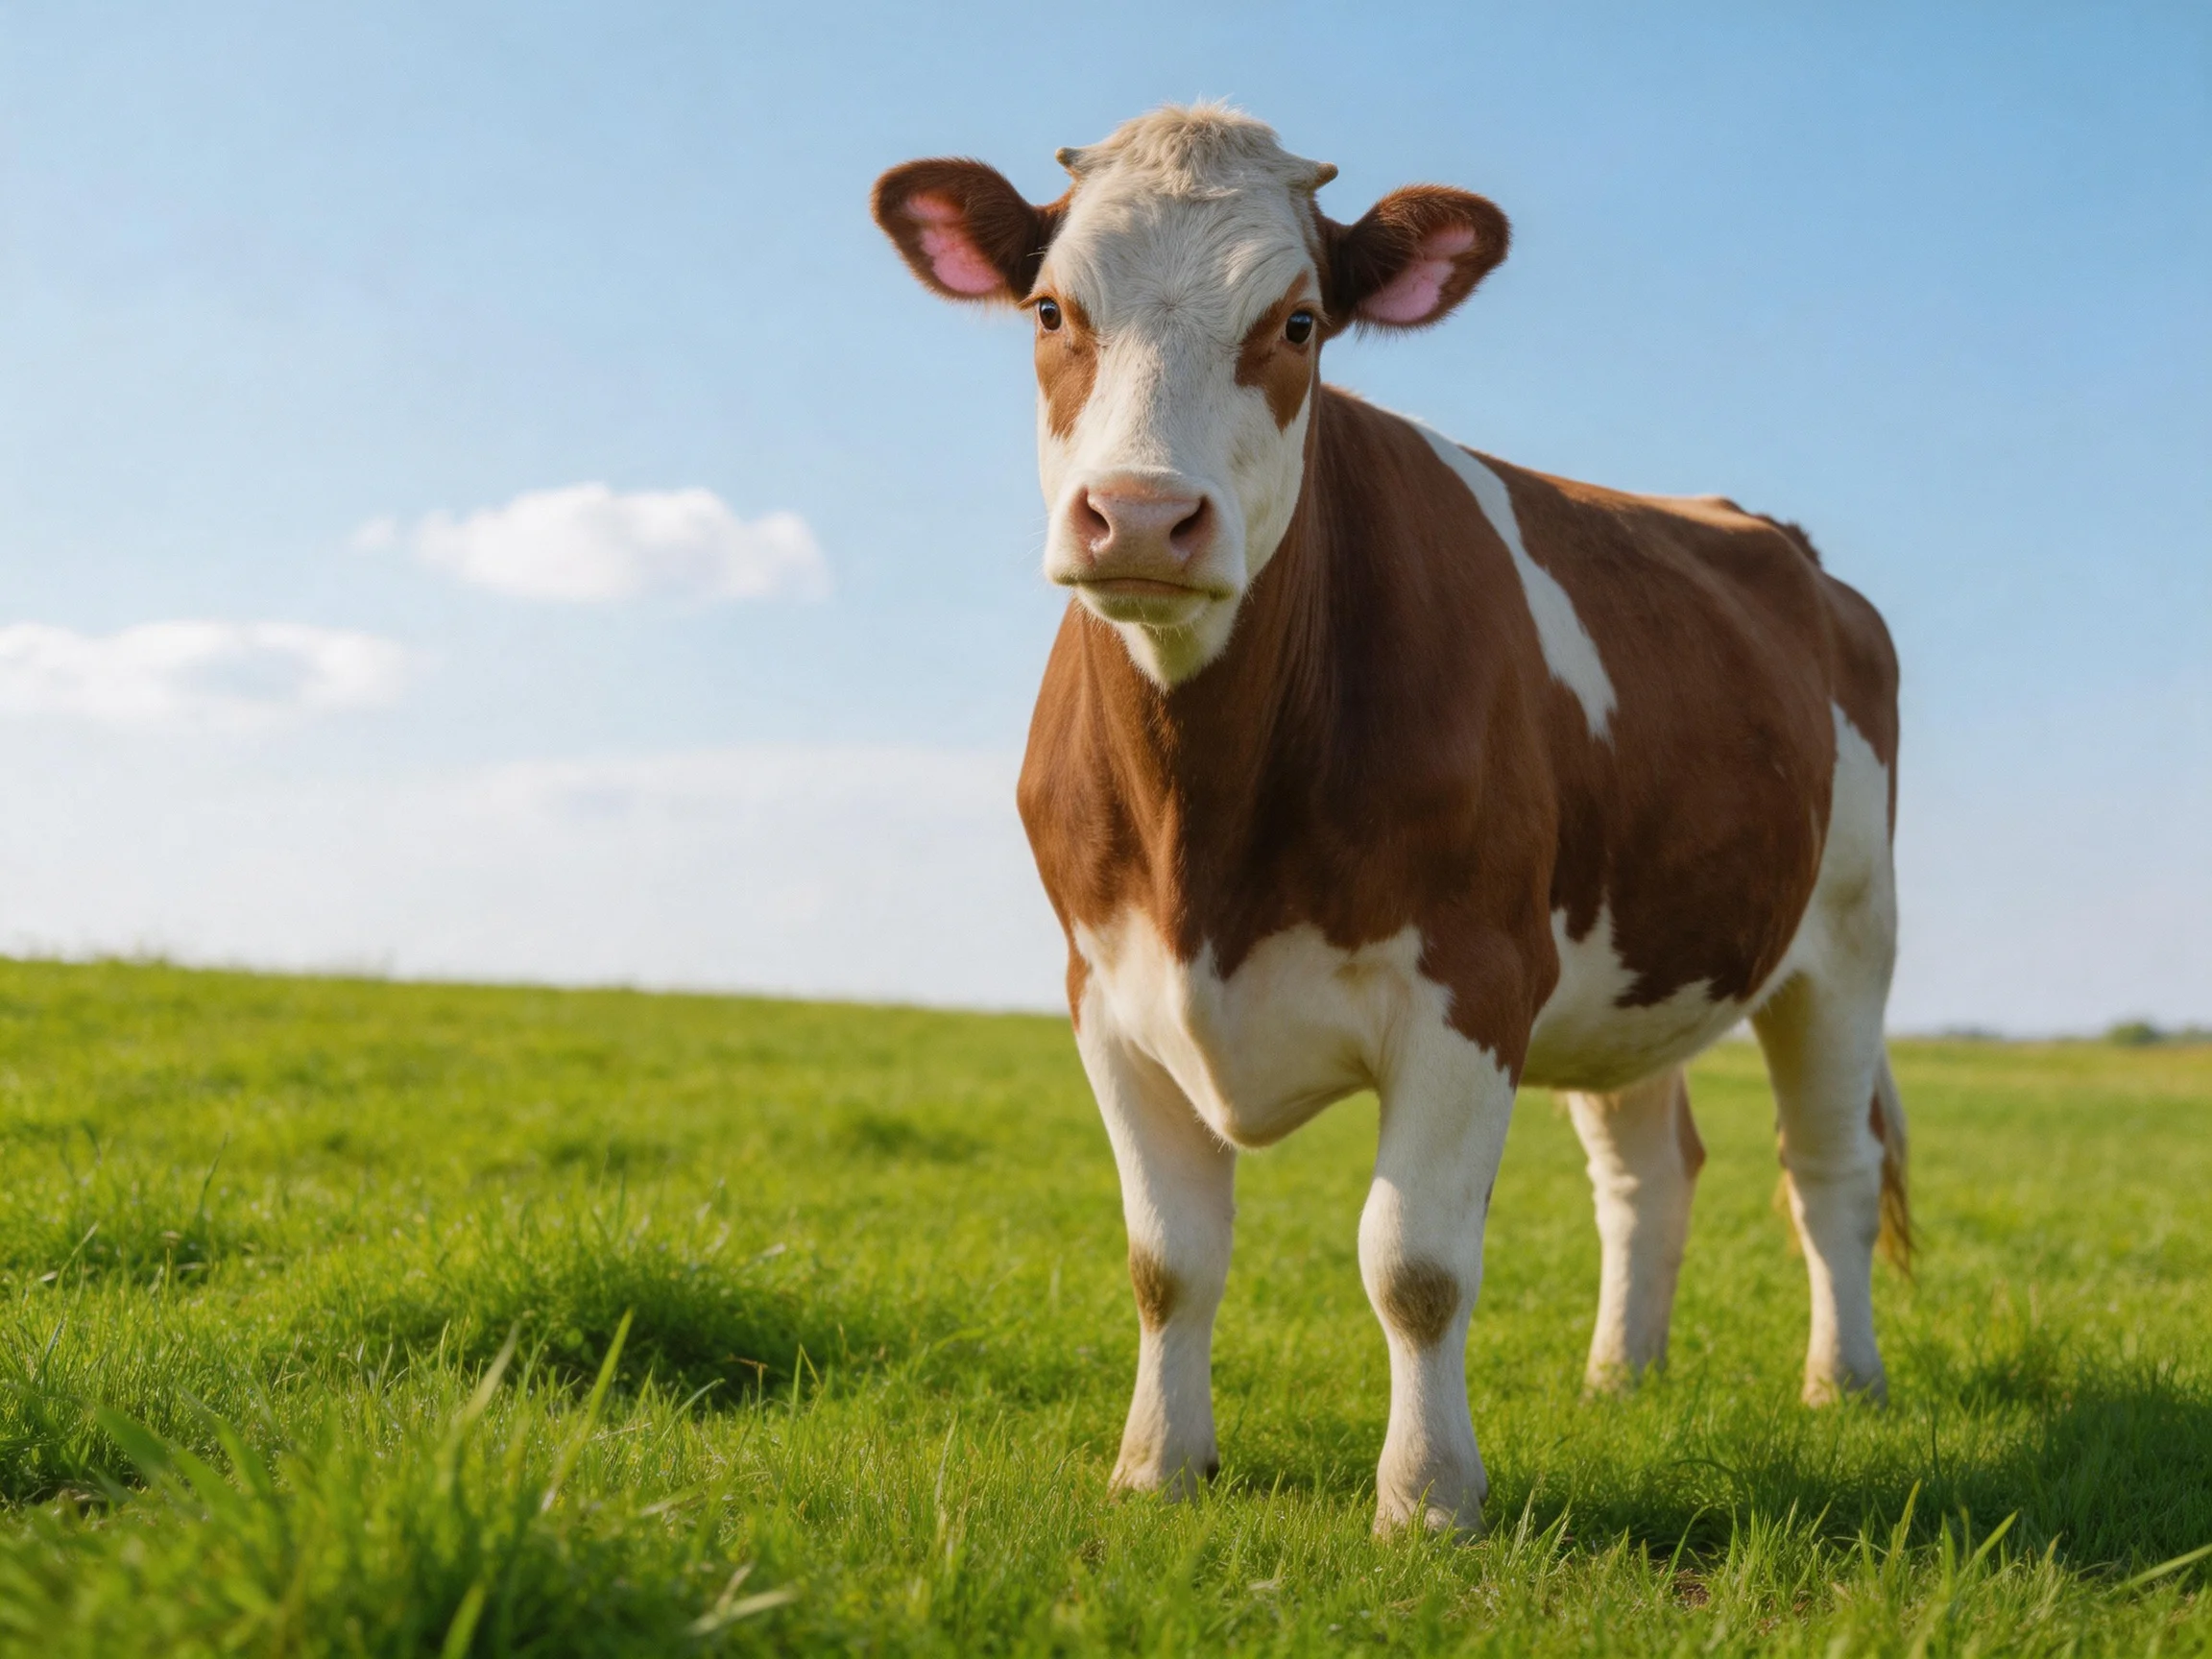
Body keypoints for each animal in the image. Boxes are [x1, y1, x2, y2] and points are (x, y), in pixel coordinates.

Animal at [872, 104, 1908, 1534]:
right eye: (1047, 308)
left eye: (1299, 321)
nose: (1140, 516)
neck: (1207, 829)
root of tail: (1790, 548)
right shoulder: (1104, 991)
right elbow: (1167, 1259)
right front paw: (1156, 1467)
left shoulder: (1473, 981)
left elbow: (1414, 1265)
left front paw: (1426, 1501)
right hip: (1632, 960)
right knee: (1649, 1169)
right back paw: (1619, 1380)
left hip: (1848, 942)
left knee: (1829, 1170)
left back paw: (1842, 1384)